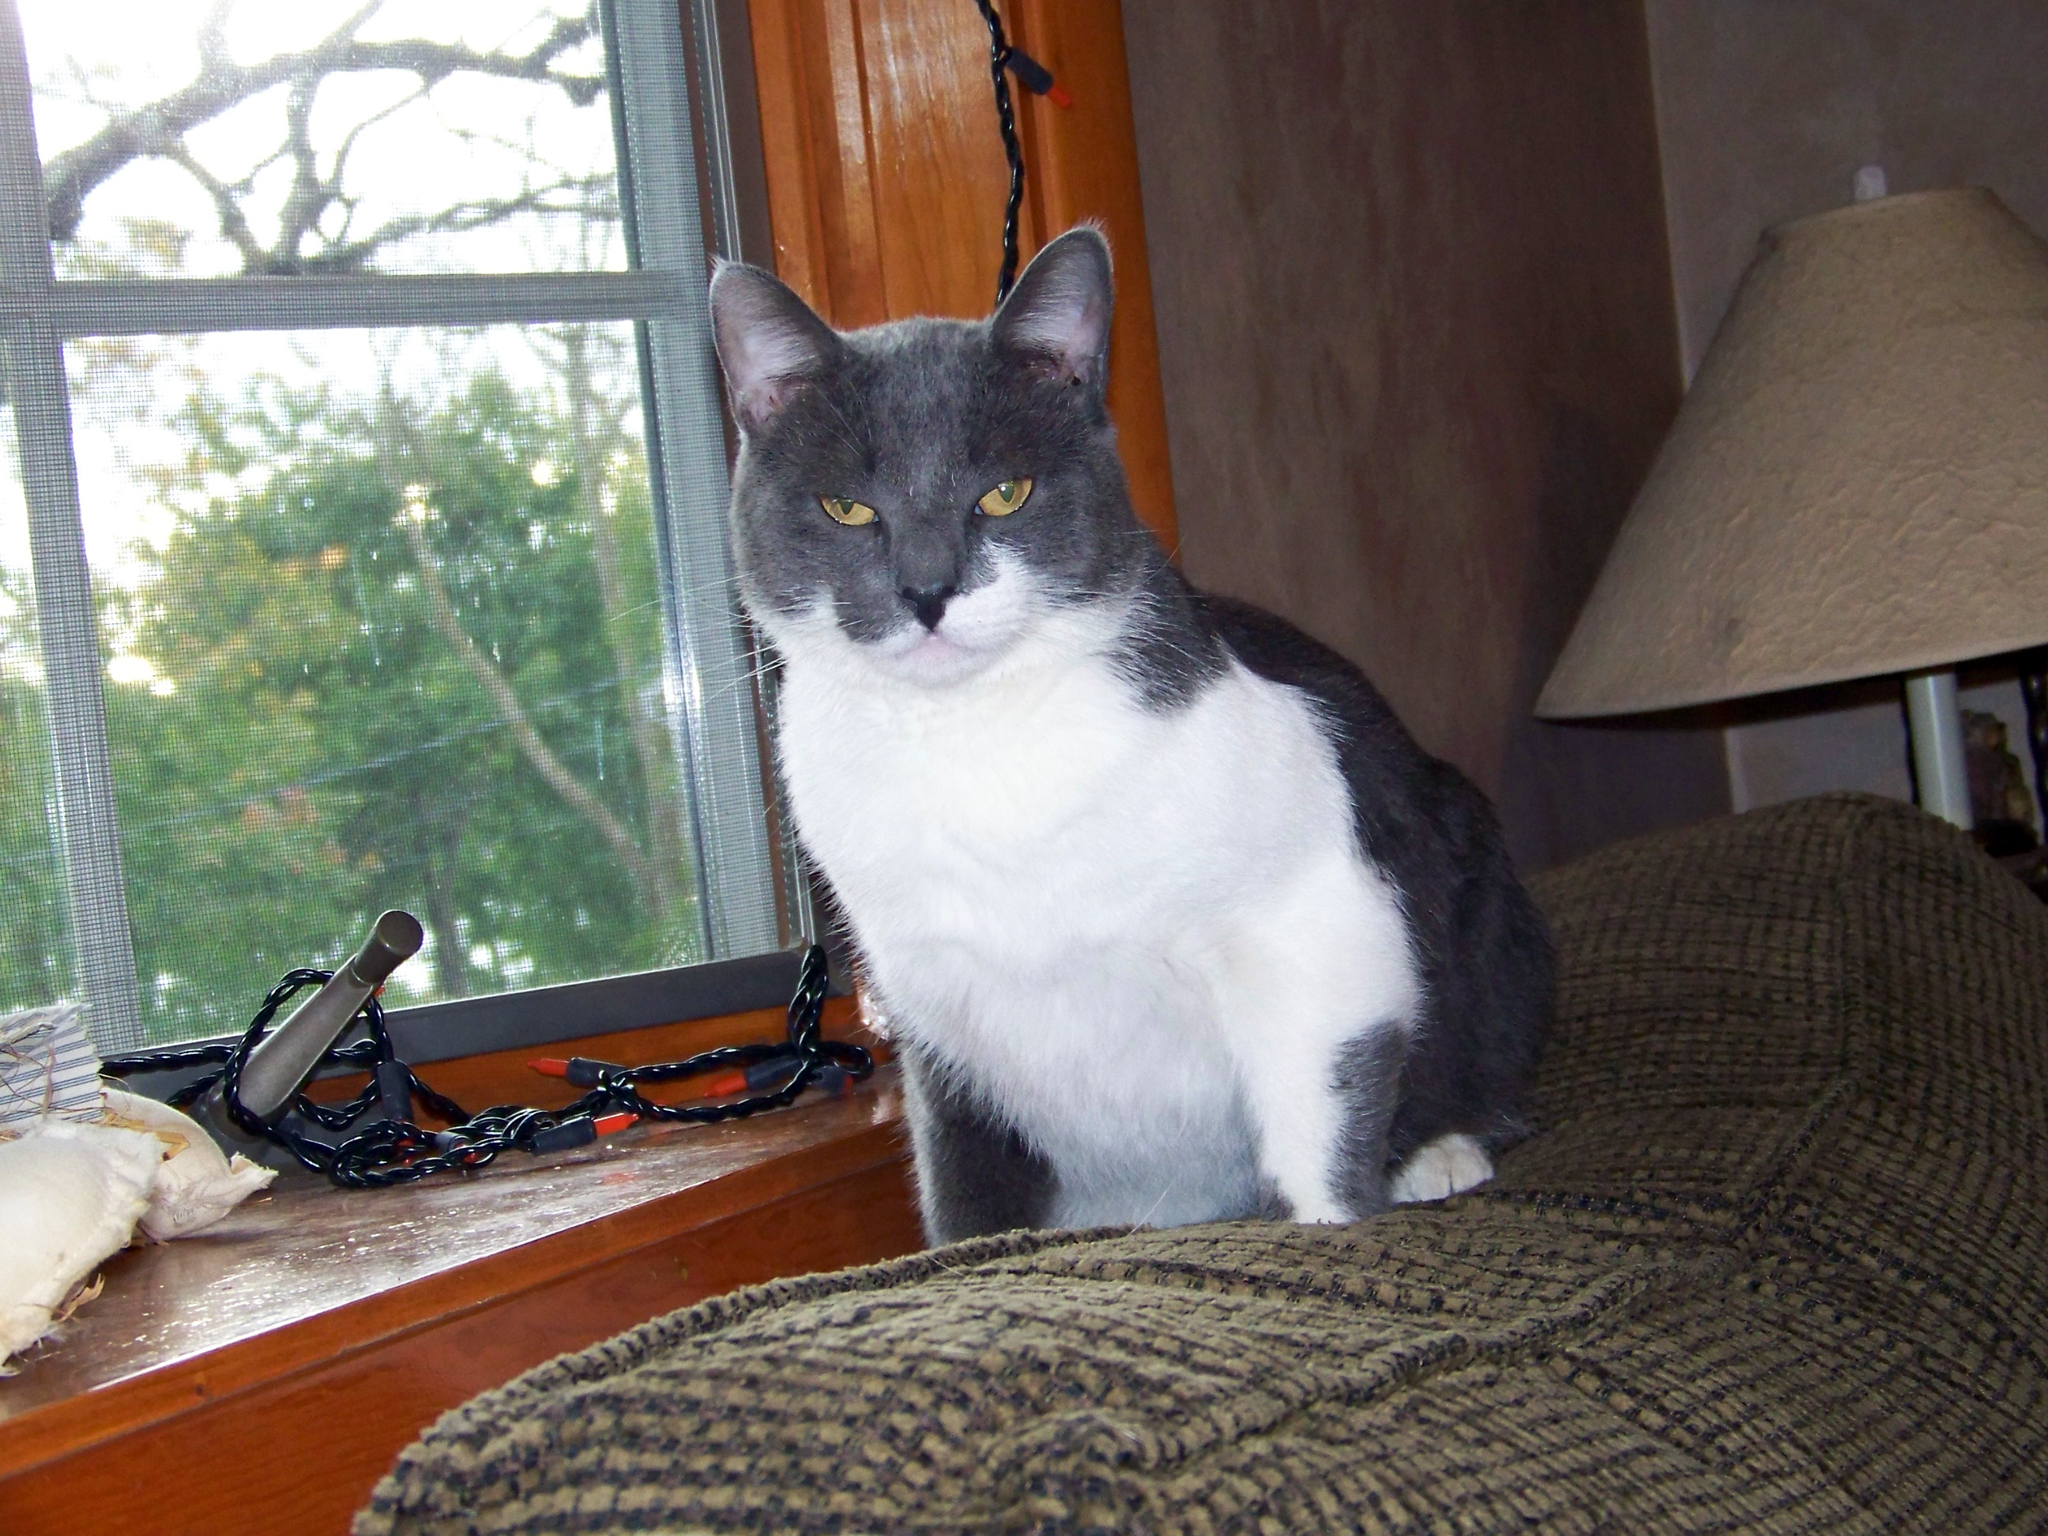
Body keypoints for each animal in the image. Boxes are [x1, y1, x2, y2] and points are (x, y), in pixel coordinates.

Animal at [712, 231, 1540, 1253]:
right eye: (848, 510)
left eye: (1005, 492)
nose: (928, 589)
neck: (973, 746)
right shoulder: (937, 1020)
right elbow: (964, 1191)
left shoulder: (1323, 921)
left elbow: (1321, 1120)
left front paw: (1329, 1224)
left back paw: (1440, 1152)